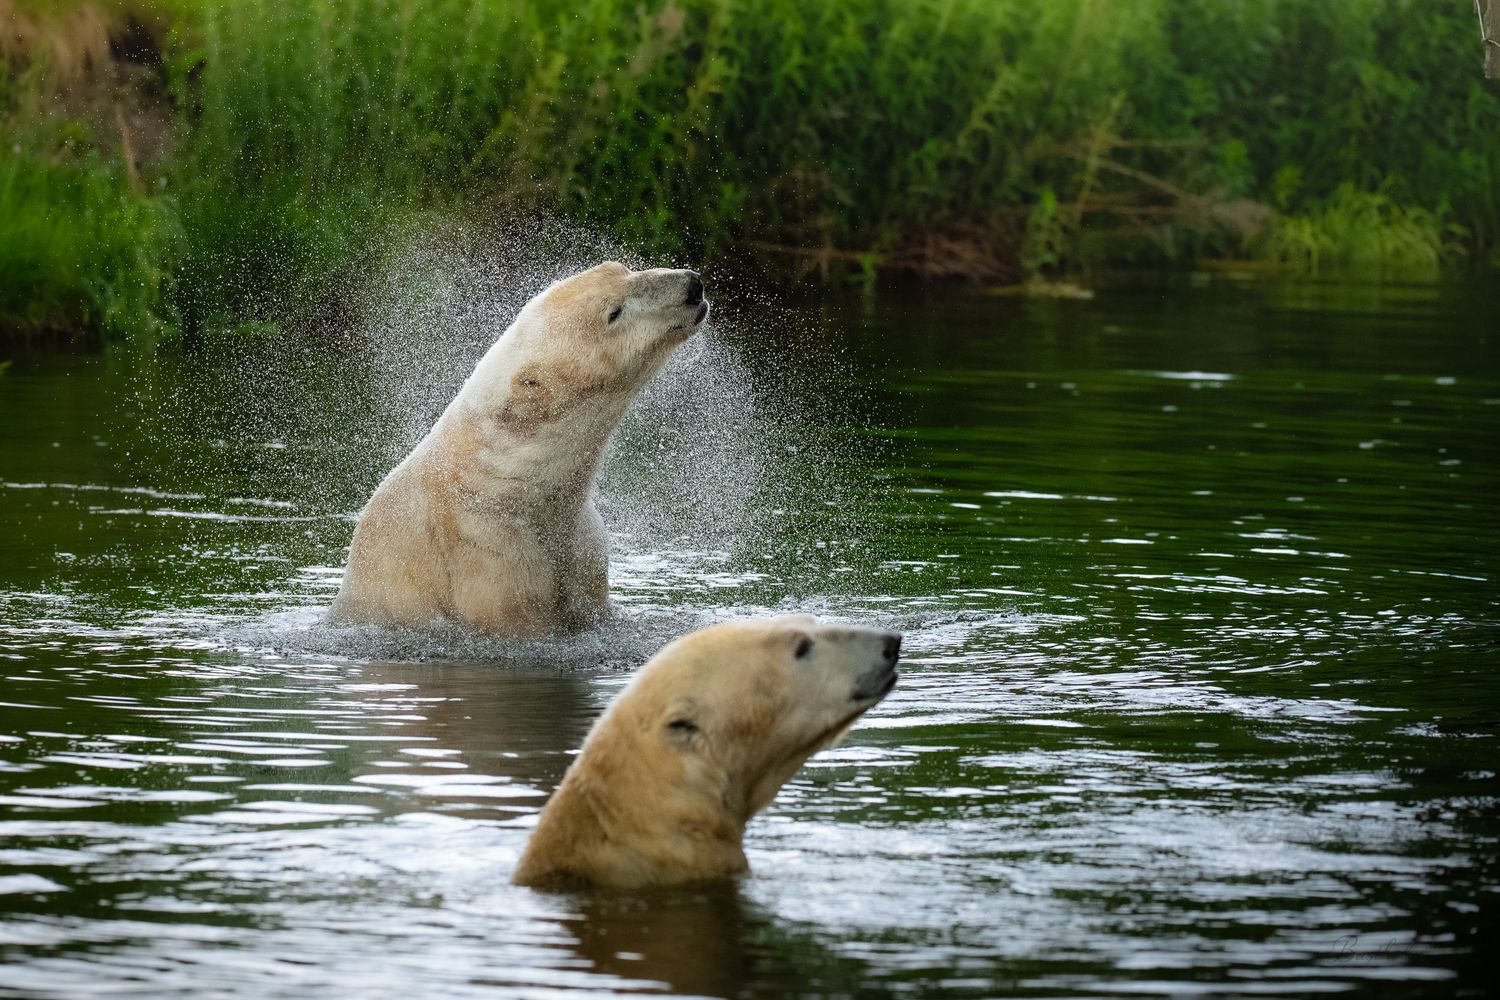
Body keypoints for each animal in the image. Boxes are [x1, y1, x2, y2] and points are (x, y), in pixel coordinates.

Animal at [329, 262, 710, 635]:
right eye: (613, 313)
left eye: (625, 269)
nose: (693, 285)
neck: (512, 481)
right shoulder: (488, 550)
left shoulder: (582, 547)